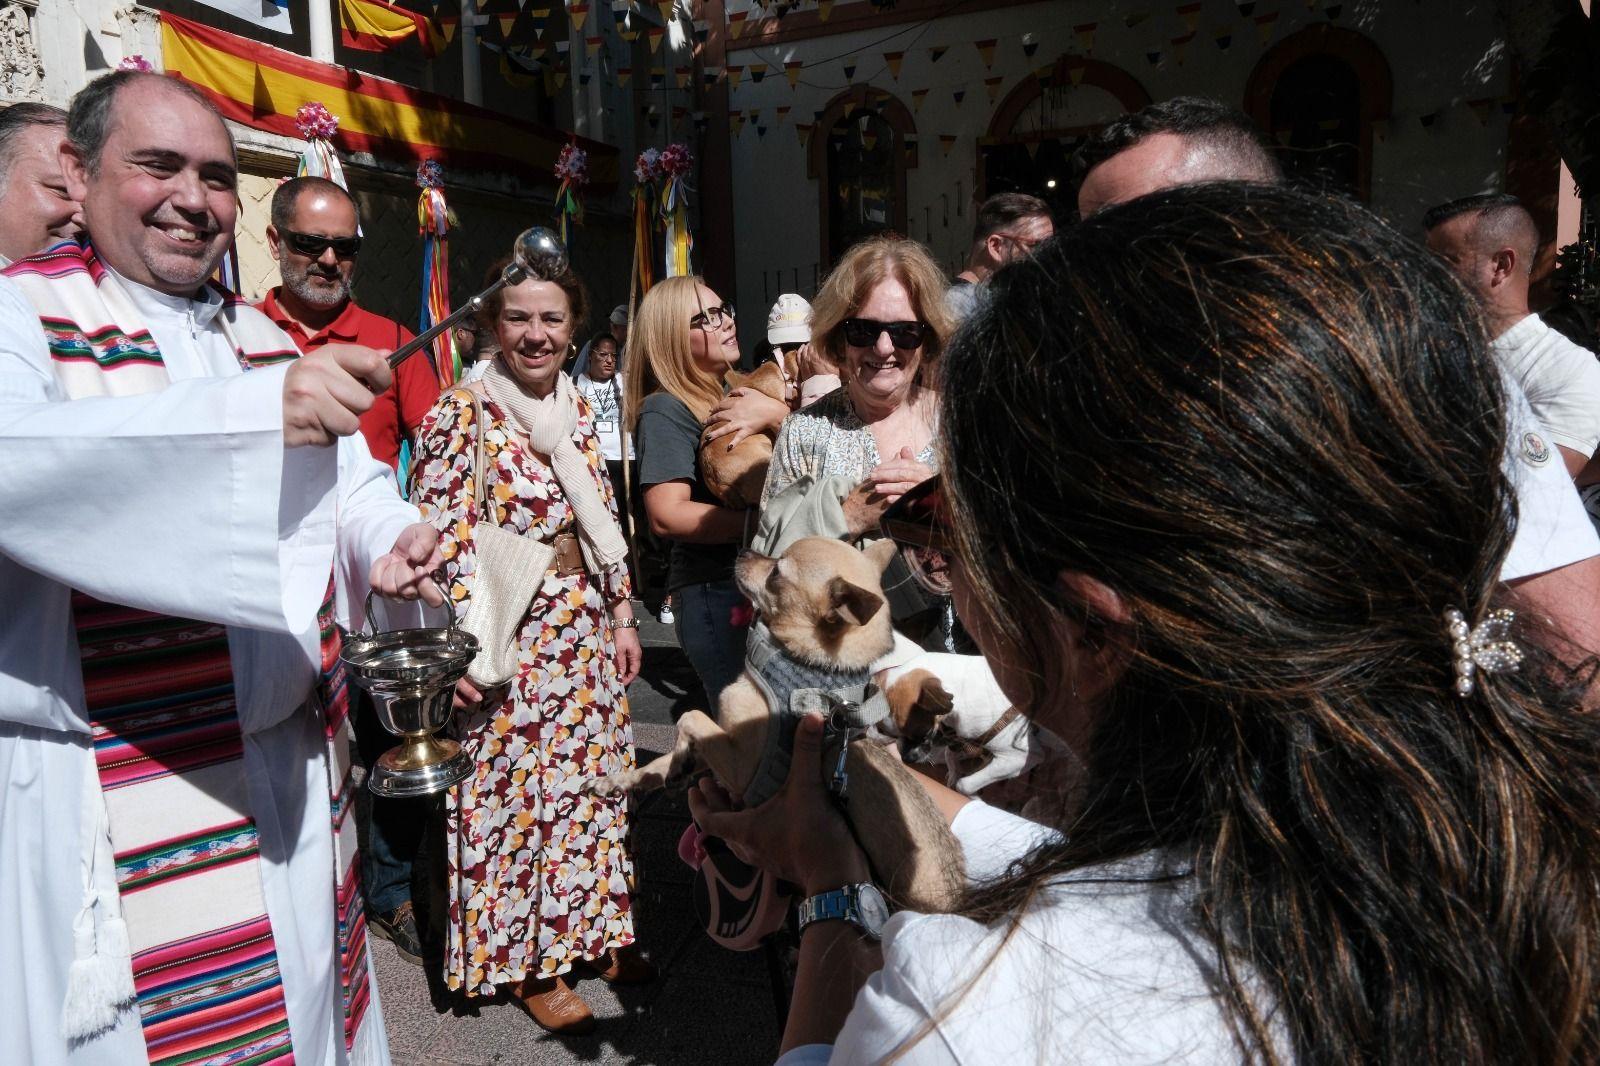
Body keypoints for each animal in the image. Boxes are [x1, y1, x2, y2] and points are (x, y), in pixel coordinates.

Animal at [588, 534, 960, 909]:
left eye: (777, 573)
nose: (744, 551)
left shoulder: (741, 766)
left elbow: (689, 716)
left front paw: (675, 761)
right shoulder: (720, 746)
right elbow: (665, 757)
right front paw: (625, 779)